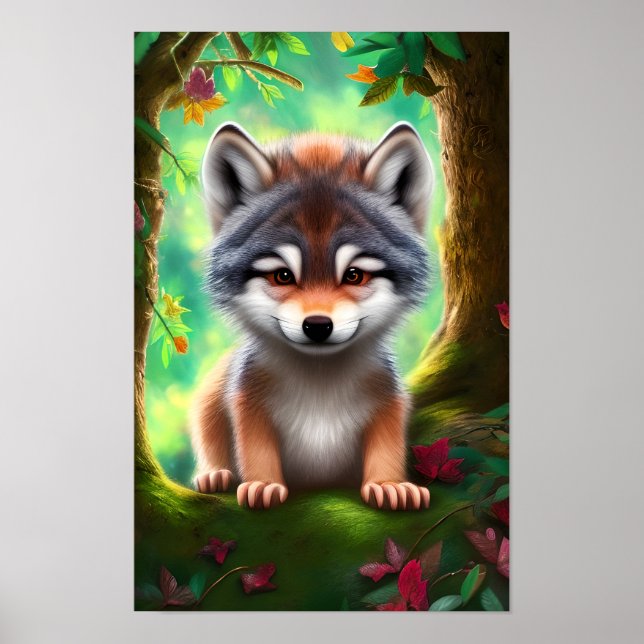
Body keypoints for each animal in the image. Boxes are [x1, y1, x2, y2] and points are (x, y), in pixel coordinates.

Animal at [191, 121, 433, 511]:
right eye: (282, 276)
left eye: (354, 275)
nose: (318, 326)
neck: (320, 382)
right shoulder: (246, 401)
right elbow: (256, 449)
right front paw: (263, 483)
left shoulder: (389, 401)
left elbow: (387, 446)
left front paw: (389, 484)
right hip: (209, 398)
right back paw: (215, 474)